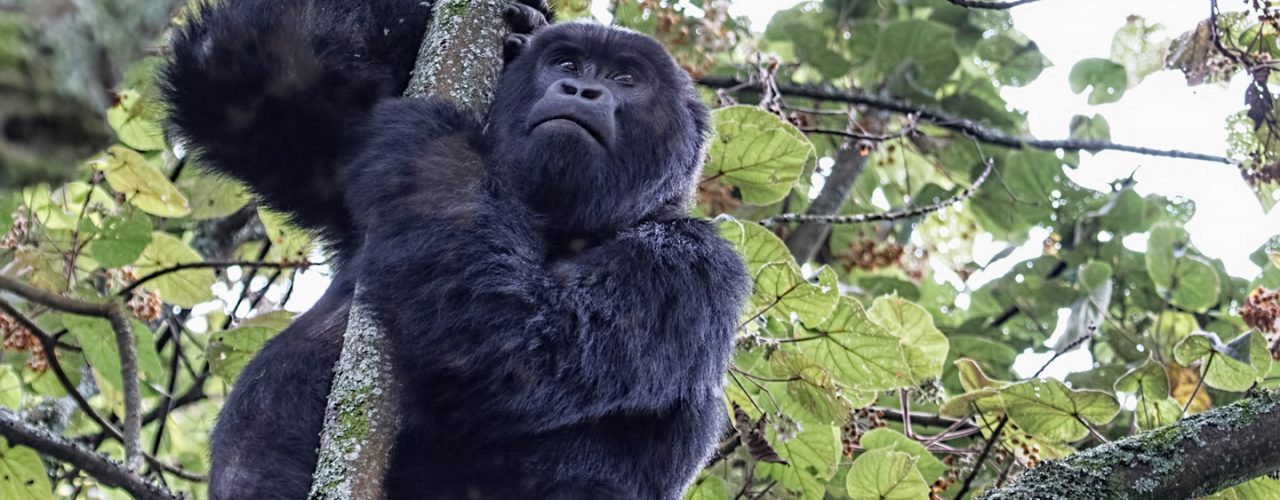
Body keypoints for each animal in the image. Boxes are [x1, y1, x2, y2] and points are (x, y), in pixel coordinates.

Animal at [166, 0, 752, 498]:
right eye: (565, 62)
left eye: (626, 78)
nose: (581, 90)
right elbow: (251, 71)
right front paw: (521, 24)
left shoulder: (697, 263)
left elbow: (522, 349)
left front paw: (433, 145)